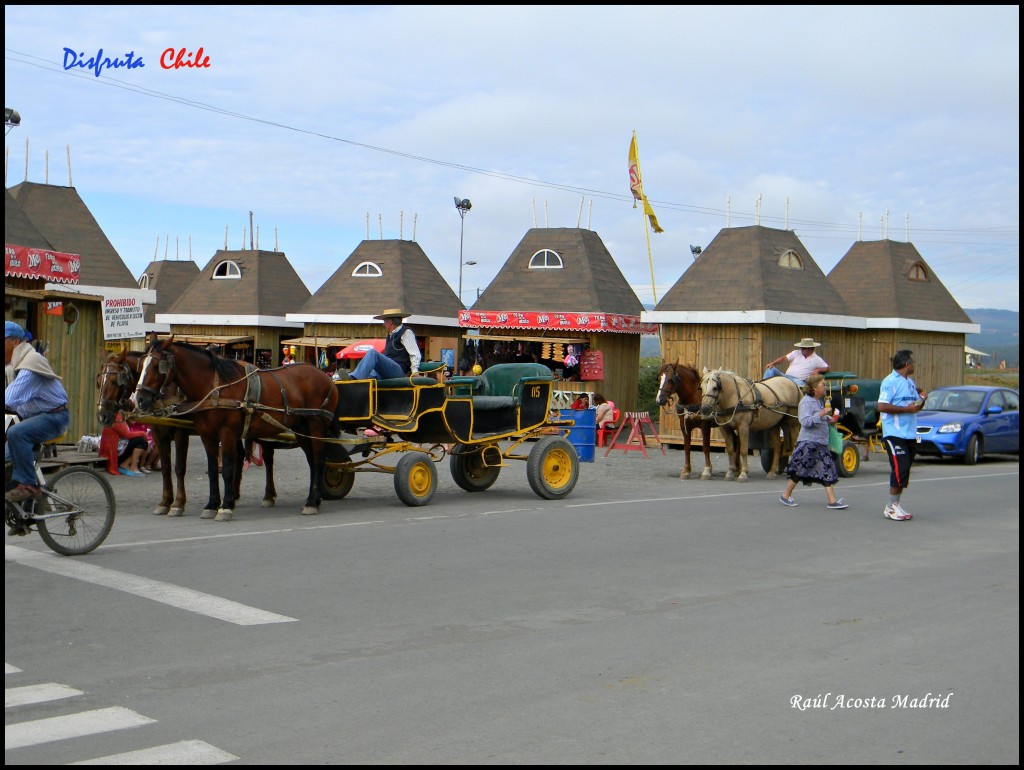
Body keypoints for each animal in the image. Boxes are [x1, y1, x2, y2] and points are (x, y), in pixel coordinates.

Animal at [130, 339, 337, 520]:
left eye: (157, 366)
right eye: (141, 366)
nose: (139, 399)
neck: (214, 388)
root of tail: (325, 377)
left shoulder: (225, 433)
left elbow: (226, 468)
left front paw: (225, 506)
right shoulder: (206, 435)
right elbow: (212, 468)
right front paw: (211, 505)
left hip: (316, 426)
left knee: (318, 461)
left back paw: (311, 502)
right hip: (301, 428)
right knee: (310, 461)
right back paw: (311, 499)